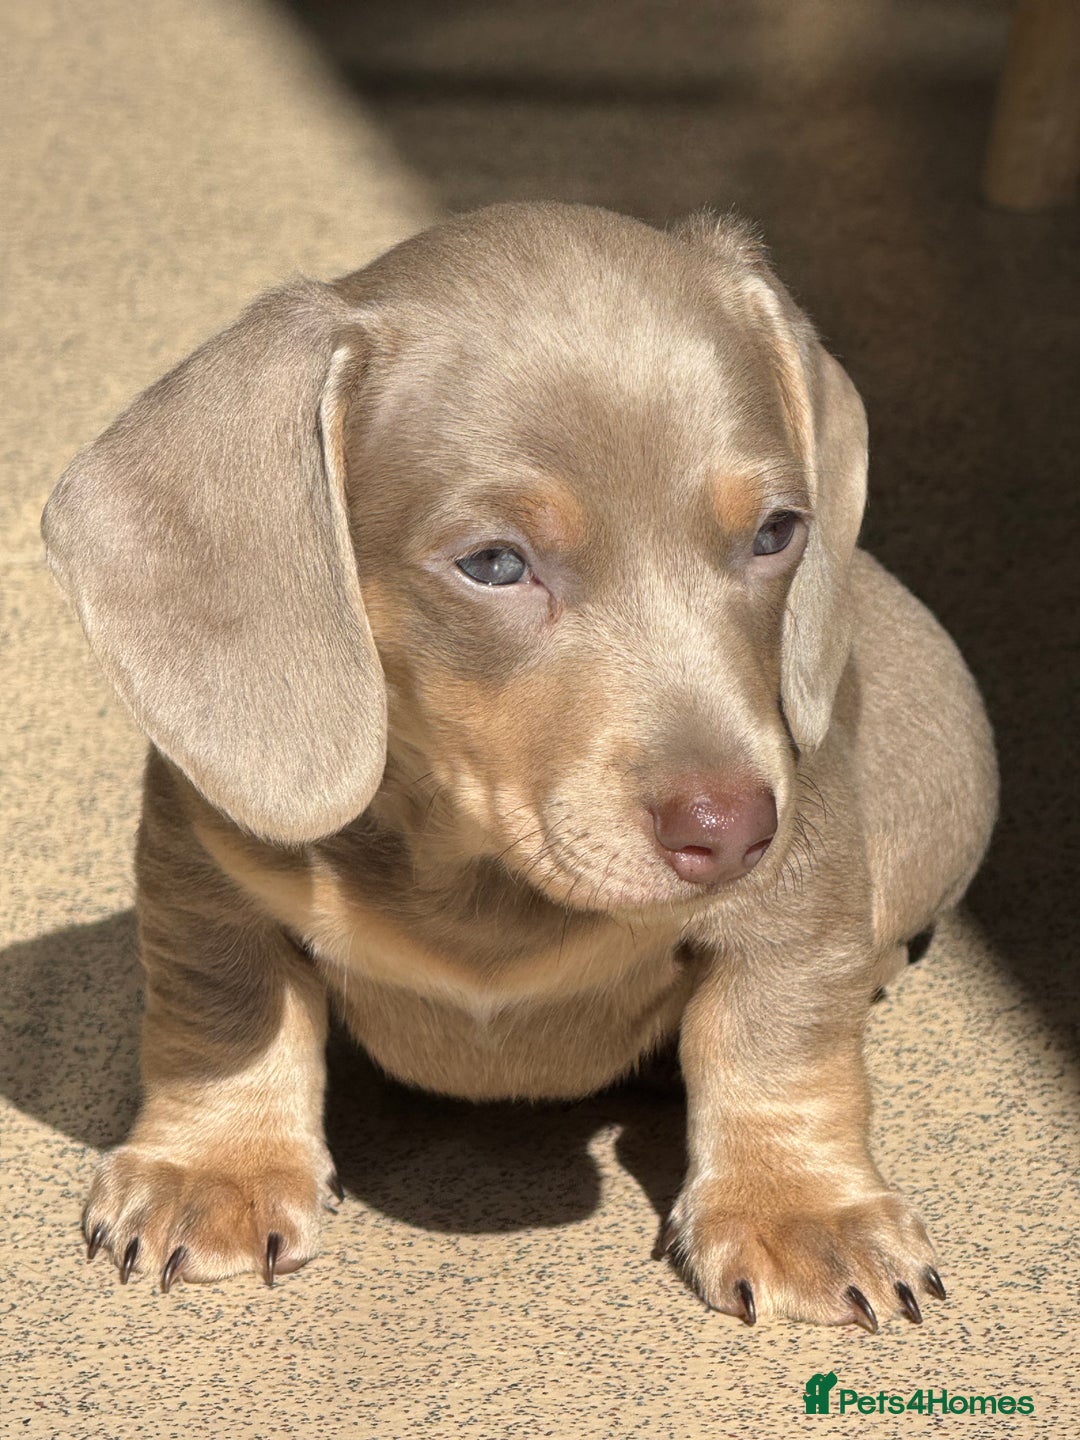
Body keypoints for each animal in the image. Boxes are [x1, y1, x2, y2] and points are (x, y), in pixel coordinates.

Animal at [42, 203, 997, 1329]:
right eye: (495, 564)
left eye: (775, 533)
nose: (735, 833)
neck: (482, 876)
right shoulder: (203, 868)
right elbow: (223, 1011)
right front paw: (213, 1168)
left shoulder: (803, 900)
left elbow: (780, 1040)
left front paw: (801, 1207)